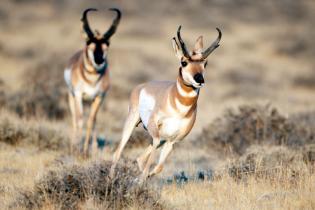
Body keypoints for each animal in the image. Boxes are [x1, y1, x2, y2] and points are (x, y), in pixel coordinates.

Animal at [65, 7, 121, 156]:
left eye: (107, 45)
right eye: (89, 44)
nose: (99, 60)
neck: (92, 80)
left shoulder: (99, 97)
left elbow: (91, 121)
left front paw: (85, 150)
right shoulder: (78, 95)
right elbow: (80, 120)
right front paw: (78, 149)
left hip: (91, 101)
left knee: (93, 120)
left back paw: (94, 147)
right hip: (72, 97)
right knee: (74, 119)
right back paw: (73, 146)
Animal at [111, 25, 222, 180]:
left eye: (205, 63)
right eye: (184, 62)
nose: (199, 79)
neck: (179, 109)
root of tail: (142, 86)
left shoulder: (172, 141)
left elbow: (158, 167)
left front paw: (142, 178)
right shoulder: (156, 133)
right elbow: (150, 165)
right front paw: (140, 180)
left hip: (162, 137)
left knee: (140, 158)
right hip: (132, 123)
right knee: (118, 153)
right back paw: (110, 180)